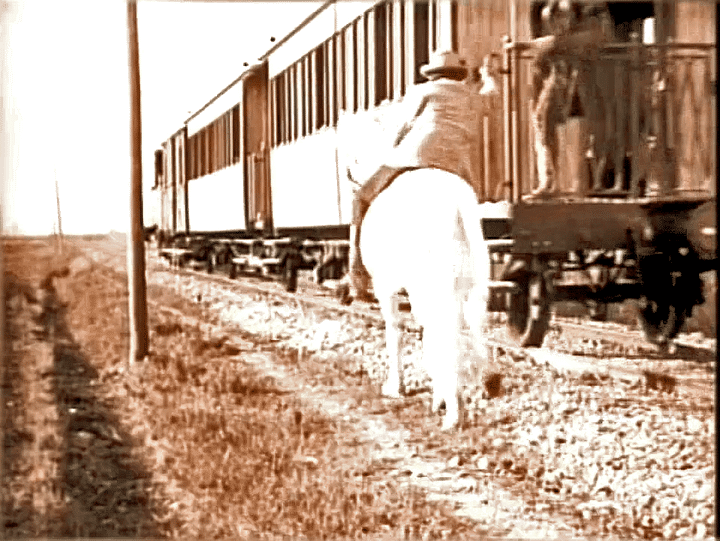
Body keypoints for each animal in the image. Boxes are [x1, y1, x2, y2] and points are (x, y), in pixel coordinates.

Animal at [360, 169, 490, 430]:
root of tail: (456, 198)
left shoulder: (385, 286)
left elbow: (395, 332)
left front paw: (395, 387)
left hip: (430, 284)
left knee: (443, 336)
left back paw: (452, 412)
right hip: (467, 281)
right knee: (464, 333)